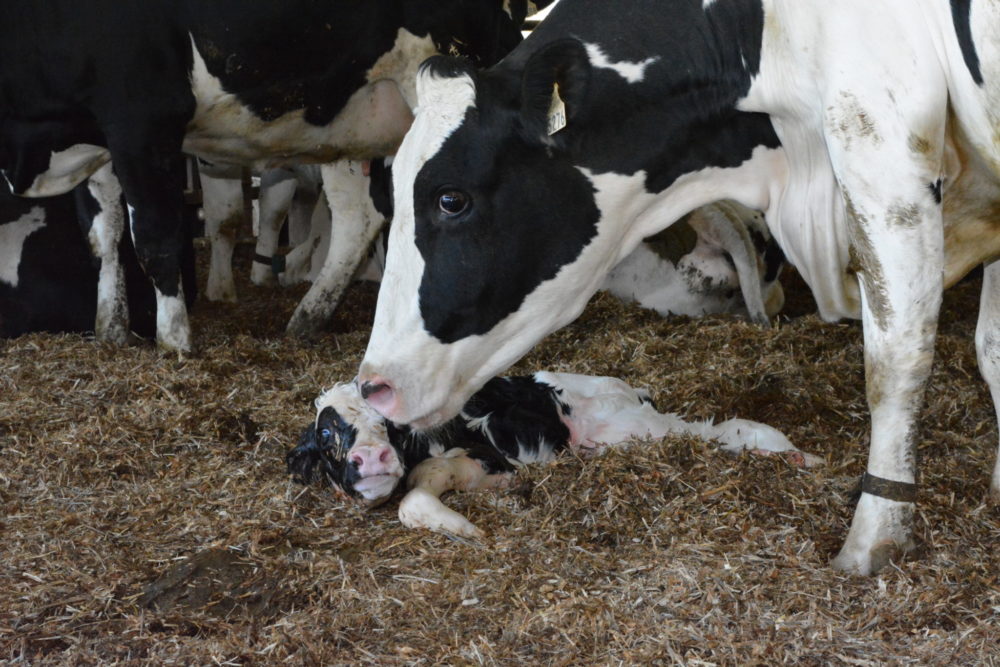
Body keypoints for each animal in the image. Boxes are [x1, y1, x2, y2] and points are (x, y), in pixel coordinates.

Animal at [290, 370, 820, 536]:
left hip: (629, 429)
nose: (372, 459)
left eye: (390, 425)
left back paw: (799, 455)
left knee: (716, 428)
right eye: (326, 433)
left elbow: (415, 497)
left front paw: (464, 527)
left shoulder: (484, 454)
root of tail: (628, 388)